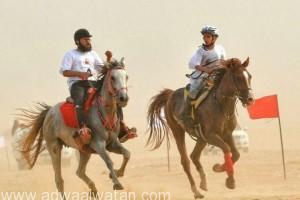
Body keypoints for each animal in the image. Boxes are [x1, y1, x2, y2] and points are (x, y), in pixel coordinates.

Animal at [146, 57, 254, 198]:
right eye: (238, 77)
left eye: (249, 76)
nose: (250, 99)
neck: (220, 105)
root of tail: (170, 95)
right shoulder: (211, 136)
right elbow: (226, 149)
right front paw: (226, 176)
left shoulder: (226, 134)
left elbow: (236, 154)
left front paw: (221, 170)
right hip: (178, 131)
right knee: (186, 161)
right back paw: (196, 191)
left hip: (201, 138)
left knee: (194, 156)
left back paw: (203, 183)